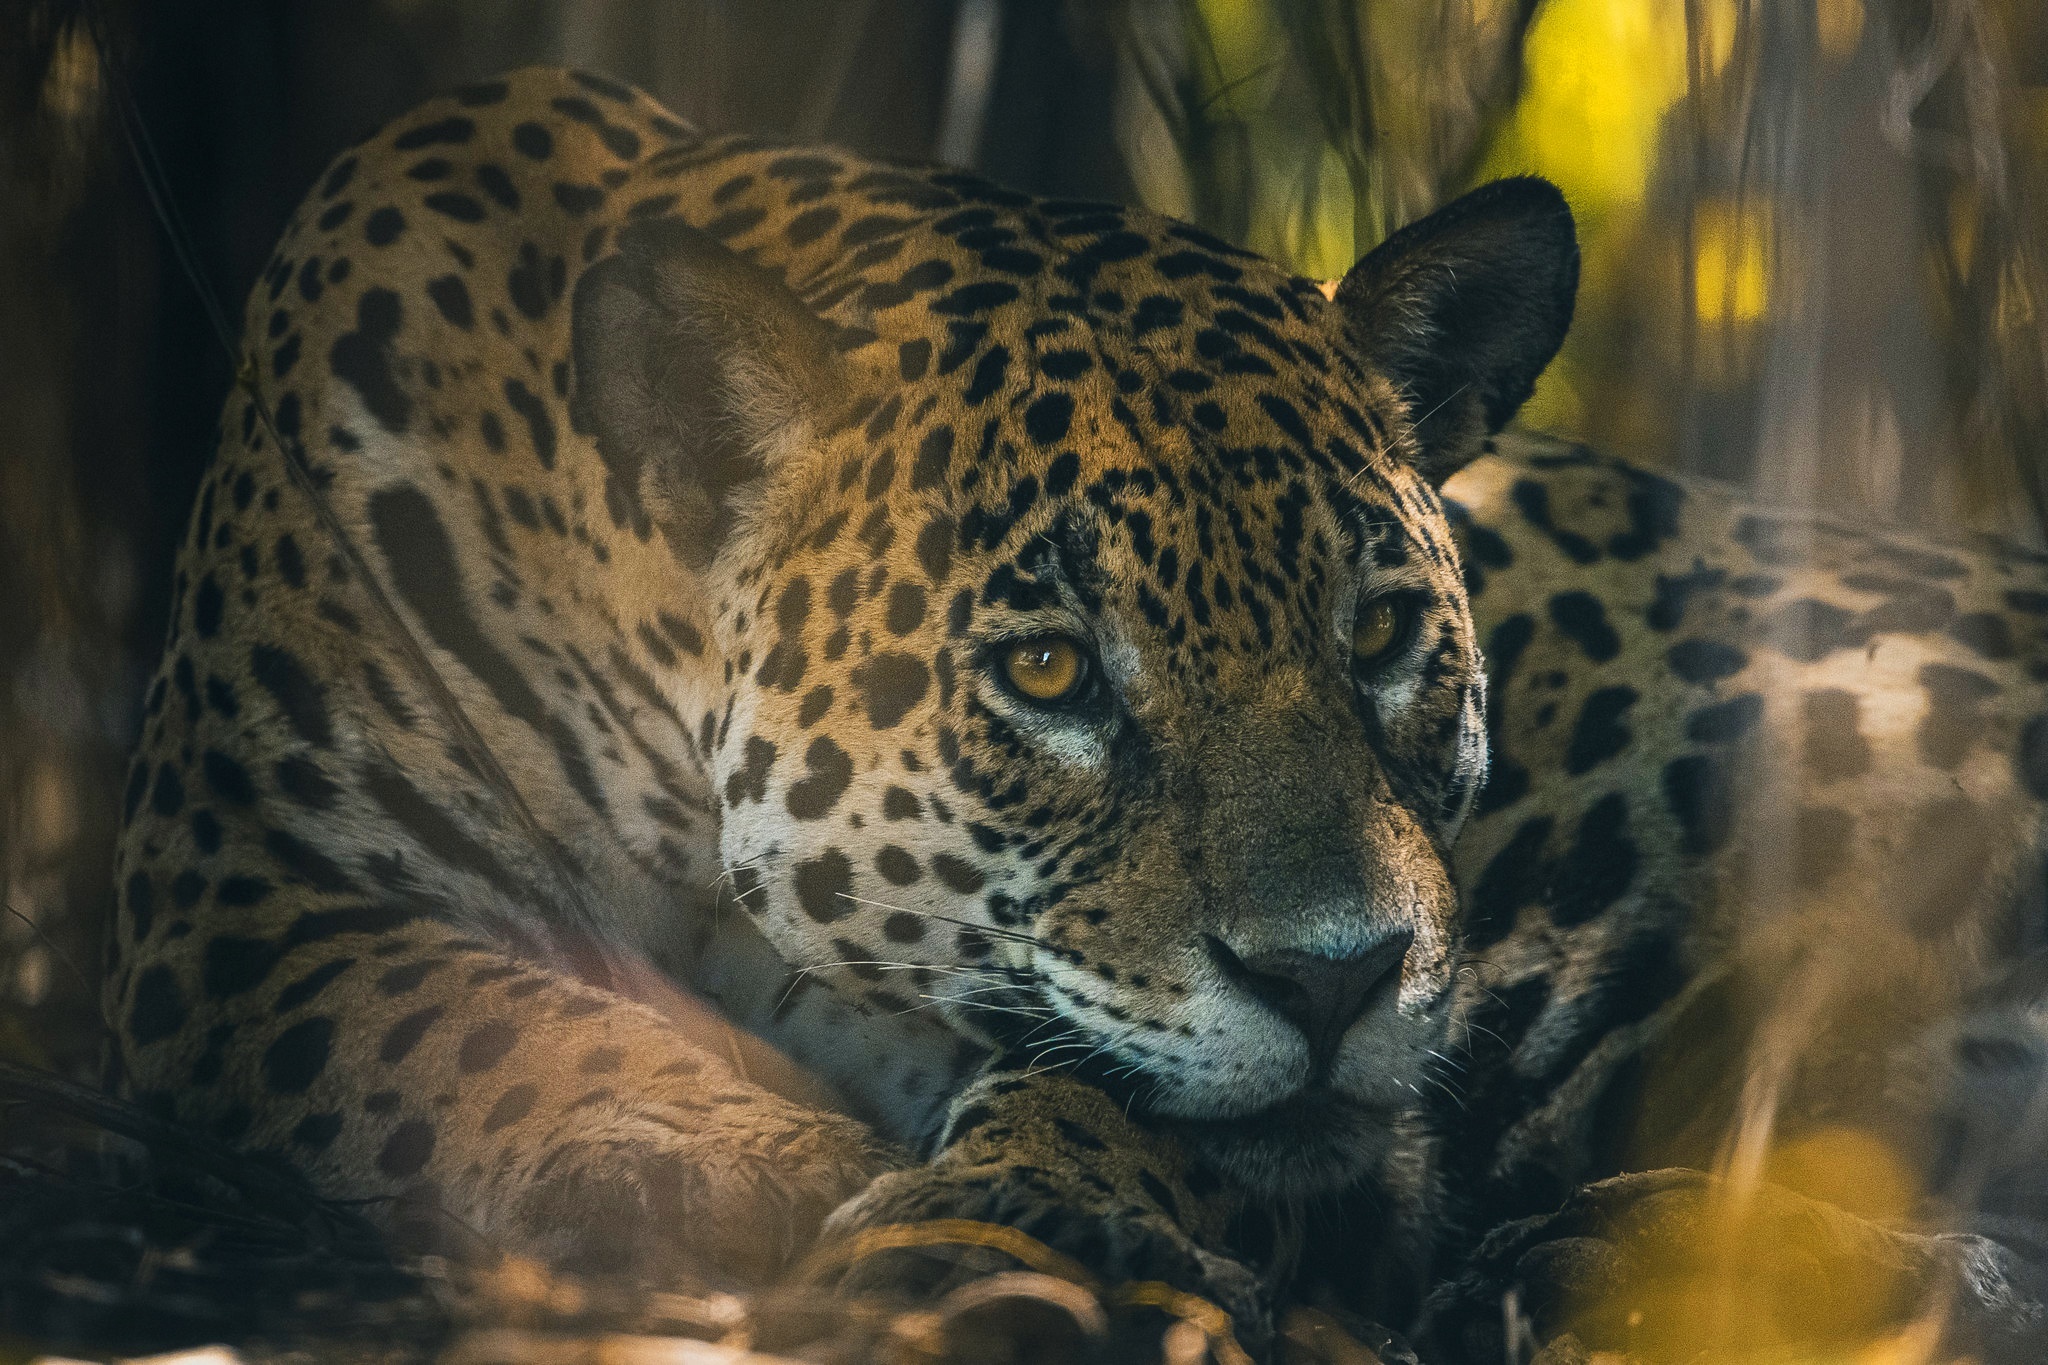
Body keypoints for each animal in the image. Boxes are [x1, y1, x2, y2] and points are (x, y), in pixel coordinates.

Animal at [103, 64, 2048, 1360]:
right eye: (1050, 671)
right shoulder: (231, 897)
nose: (1340, 981)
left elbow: (1115, 1104)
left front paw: (1003, 1226)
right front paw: (716, 1152)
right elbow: (441, 1018)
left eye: (1377, 635)